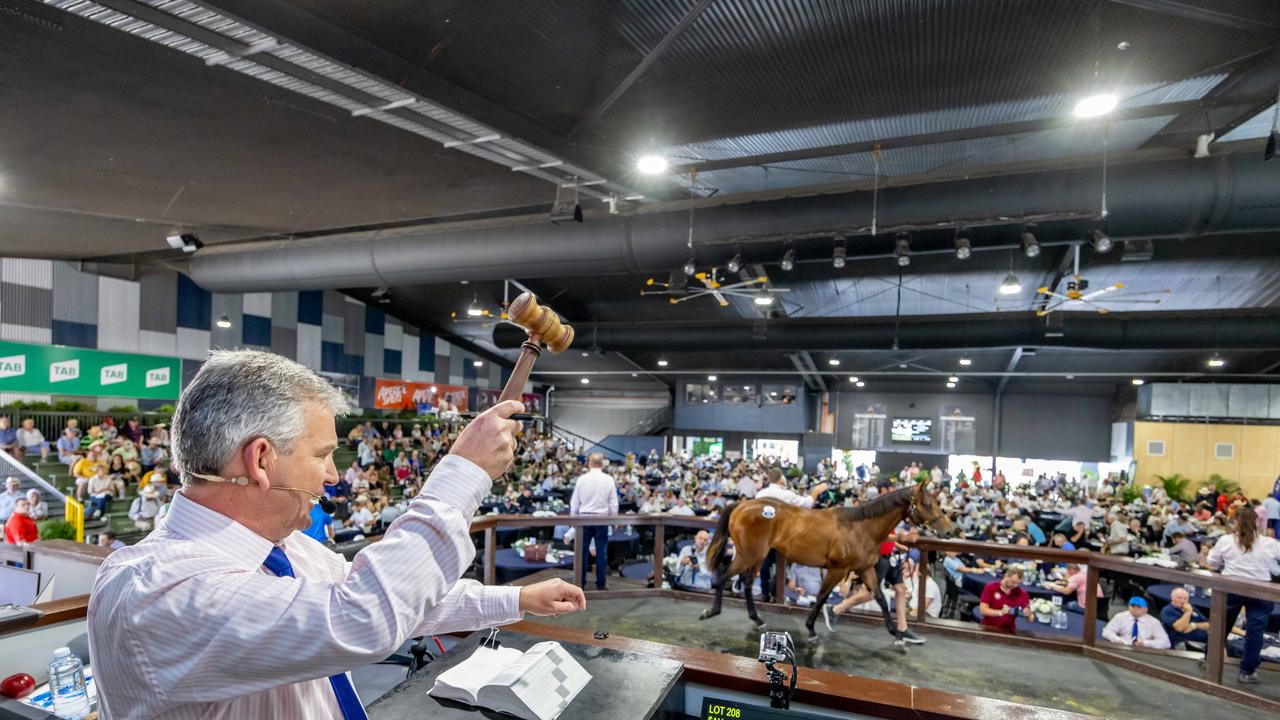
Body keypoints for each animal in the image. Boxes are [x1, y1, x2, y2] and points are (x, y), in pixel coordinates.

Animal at [701, 484, 952, 640]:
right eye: (927, 504)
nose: (948, 531)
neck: (860, 528)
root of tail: (742, 505)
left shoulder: (865, 569)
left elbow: (880, 597)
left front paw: (896, 633)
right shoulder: (837, 569)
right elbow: (822, 597)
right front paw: (811, 630)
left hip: (757, 556)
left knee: (745, 582)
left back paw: (757, 619)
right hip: (748, 555)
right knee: (723, 575)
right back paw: (712, 611)